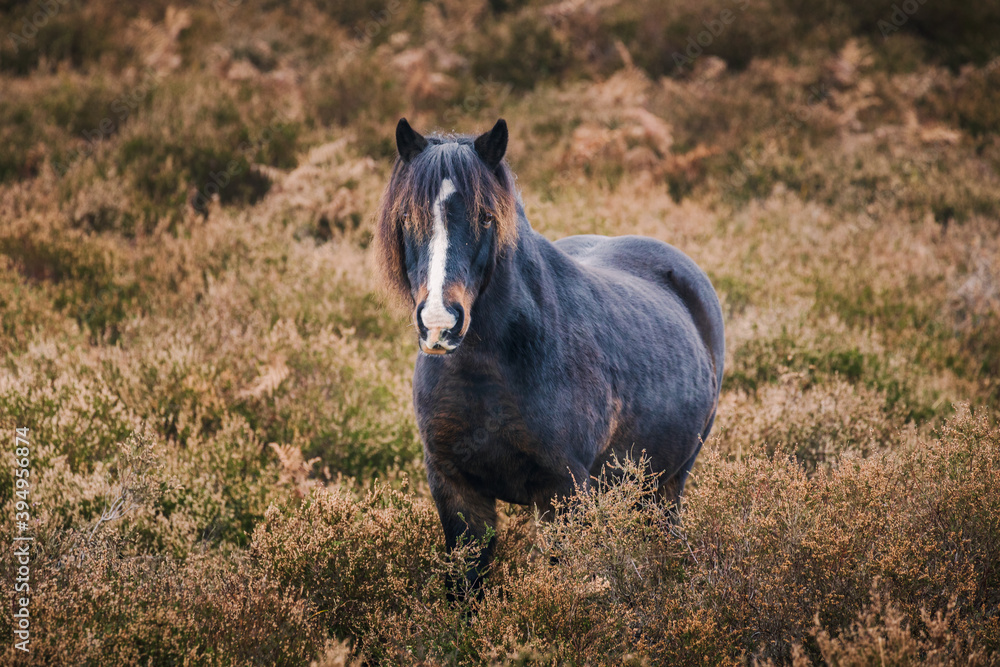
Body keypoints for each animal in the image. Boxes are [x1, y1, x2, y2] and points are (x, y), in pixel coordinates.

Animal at [374, 118, 725, 590]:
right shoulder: (456, 490)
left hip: (667, 485)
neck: (487, 375)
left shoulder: (564, 491)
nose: (439, 323)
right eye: (408, 217)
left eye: (486, 216)